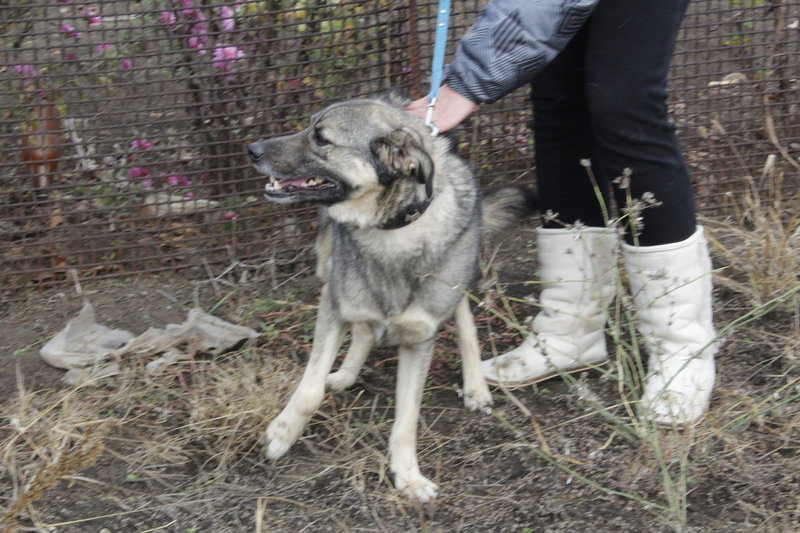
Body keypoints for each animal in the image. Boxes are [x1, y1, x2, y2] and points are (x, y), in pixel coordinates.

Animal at [247, 96, 536, 502]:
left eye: (321, 138)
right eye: (309, 127)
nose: (251, 149)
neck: (393, 229)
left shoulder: (420, 338)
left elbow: (407, 419)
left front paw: (408, 476)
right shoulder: (333, 303)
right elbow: (309, 388)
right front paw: (281, 434)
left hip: (458, 280)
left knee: (464, 324)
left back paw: (476, 387)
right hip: (331, 273)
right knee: (363, 330)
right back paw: (346, 373)